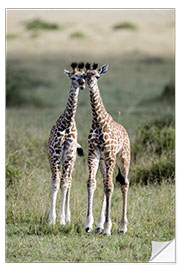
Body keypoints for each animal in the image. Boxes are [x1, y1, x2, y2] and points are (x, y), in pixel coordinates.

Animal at [85, 63, 130, 236]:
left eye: (97, 76)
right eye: (85, 76)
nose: (90, 83)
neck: (98, 121)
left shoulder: (110, 156)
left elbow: (110, 187)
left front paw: (108, 227)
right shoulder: (93, 155)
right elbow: (91, 183)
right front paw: (89, 224)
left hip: (123, 159)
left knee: (124, 183)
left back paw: (123, 227)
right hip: (104, 162)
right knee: (105, 183)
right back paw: (99, 225)